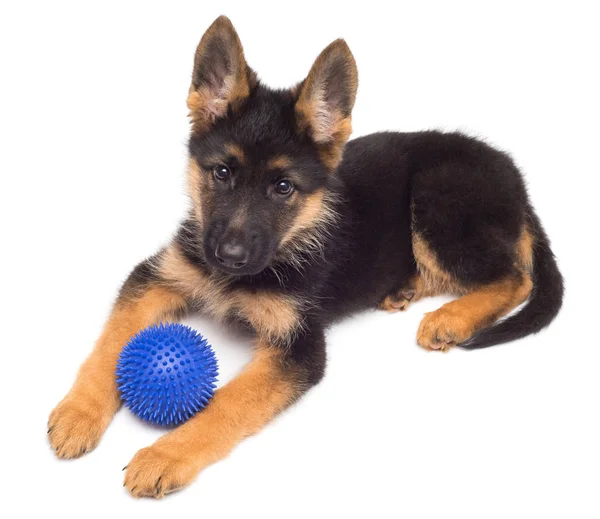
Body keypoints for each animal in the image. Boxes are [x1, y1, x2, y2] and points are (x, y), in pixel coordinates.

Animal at [48, 14, 564, 498]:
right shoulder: (158, 276)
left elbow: (227, 403)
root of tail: (517, 182)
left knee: (515, 277)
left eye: (283, 187)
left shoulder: (298, 346)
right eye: (221, 173)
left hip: (438, 198)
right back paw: (404, 289)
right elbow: (112, 343)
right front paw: (79, 412)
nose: (228, 257)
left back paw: (451, 318)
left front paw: (165, 455)